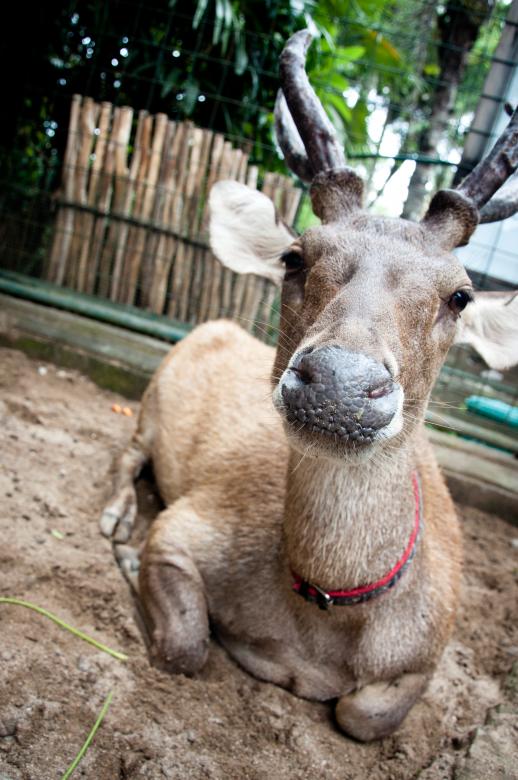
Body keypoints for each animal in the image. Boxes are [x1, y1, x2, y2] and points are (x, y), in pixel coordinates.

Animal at [100, 30, 518, 741]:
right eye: (296, 256)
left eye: (460, 294)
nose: (342, 384)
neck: (325, 617)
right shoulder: (188, 528)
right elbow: (185, 645)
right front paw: (130, 561)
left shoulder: (433, 647)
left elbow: (363, 715)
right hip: (152, 399)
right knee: (126, 450)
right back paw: (116, 518)